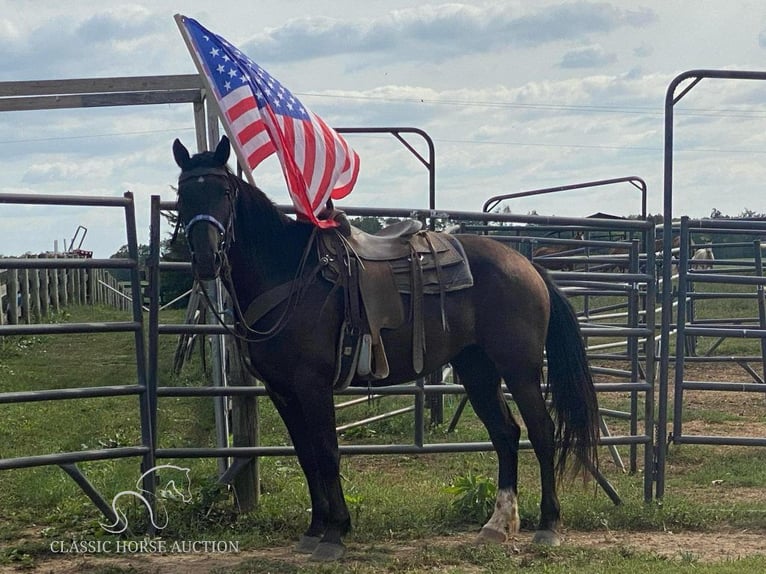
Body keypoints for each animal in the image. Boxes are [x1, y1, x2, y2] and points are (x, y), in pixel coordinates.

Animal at [172, 138, 600, 564]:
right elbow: (306, 456)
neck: (288, 275)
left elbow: (327, 452)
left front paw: (335, 533)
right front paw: (314, 530)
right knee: (506, 433)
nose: (206, 259)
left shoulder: (312, 385)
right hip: (478, 370)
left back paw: (548, 525)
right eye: (182, 194)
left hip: (519, 370)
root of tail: (527, 265)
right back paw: (497, 524)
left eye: (225, 192)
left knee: (542, 432)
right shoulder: (282, 391)